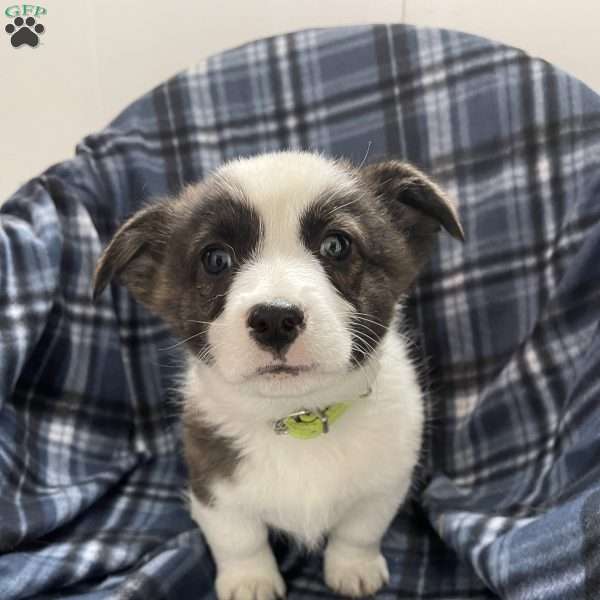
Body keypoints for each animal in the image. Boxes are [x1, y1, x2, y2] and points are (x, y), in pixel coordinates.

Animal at [92, 152, 464, 596]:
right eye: (215, 259)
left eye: (336, 245)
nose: (274, 319)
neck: (299, 415)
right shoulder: (213, 487)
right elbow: (238, 538)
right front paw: (250, 581)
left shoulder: (386, 481)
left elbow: (359, 529)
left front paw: (353, 569)